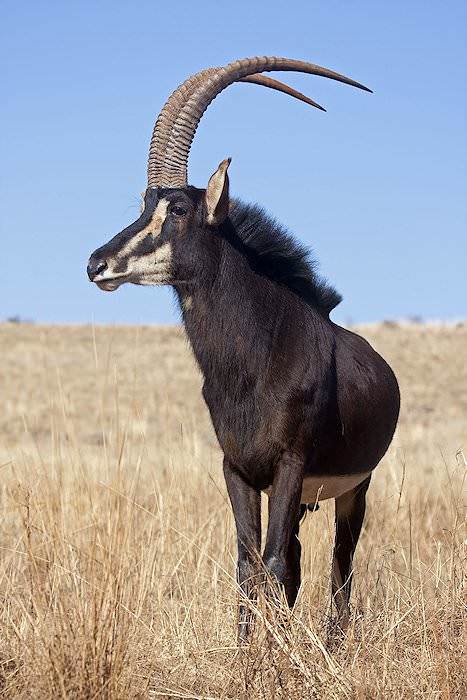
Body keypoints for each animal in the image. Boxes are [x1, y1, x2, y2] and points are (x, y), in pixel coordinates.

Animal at [88, 57, 402, 636]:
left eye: (179, 209)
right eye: (144, 205)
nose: (97, 264)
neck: (254, 360)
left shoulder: (289, 465)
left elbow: (272, 562)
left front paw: (271, 652)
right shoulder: (237, 469)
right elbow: (248, 561)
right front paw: (246, 648)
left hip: (354, 490)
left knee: (339, 565)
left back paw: (334, 641)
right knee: (298, 558)